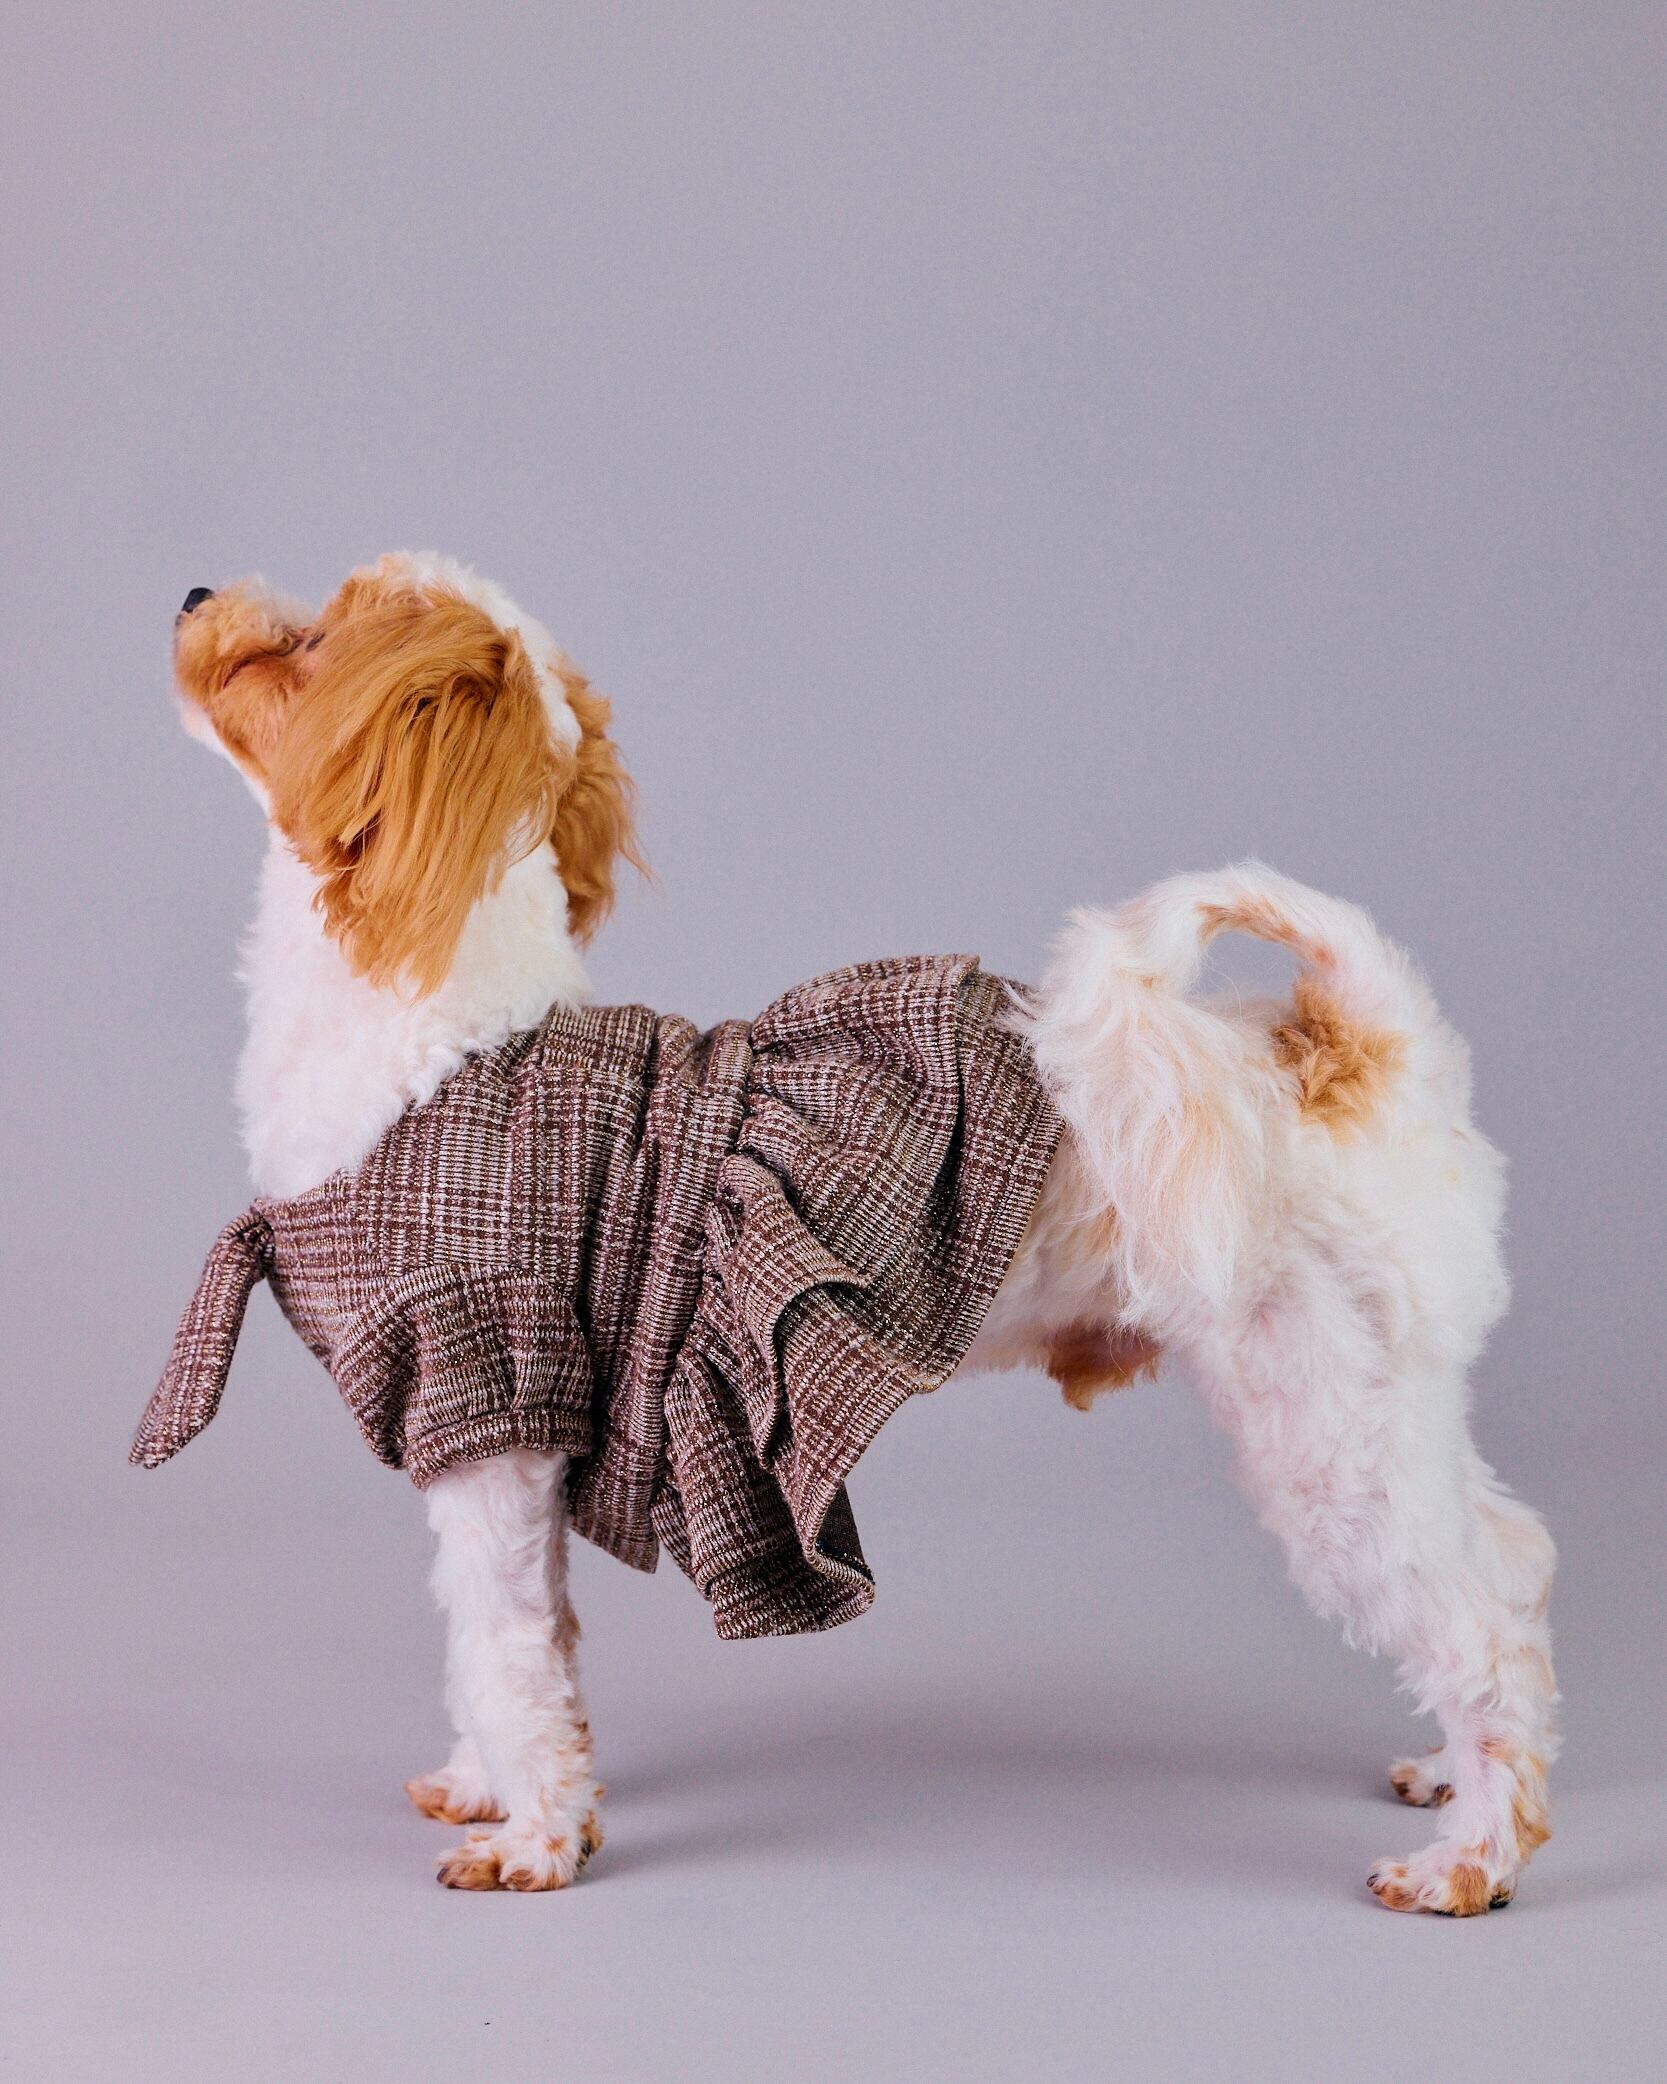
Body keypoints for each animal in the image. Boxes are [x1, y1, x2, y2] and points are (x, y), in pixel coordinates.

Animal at [144, 550, 1557, 1911]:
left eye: (302, 642)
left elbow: (503, 1656)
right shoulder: (517, 1447)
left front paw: (536, 1841)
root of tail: (1345, 1046)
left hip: (1327, 1427)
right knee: (1511, 1557)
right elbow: (527, 1649)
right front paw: (498, 1790)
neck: (443, 1036)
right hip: (1388, 1409)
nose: (194, 593)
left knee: (1478, 1622)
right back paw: (1450, 1770)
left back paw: (1470, 1857)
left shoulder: (489, 1406)